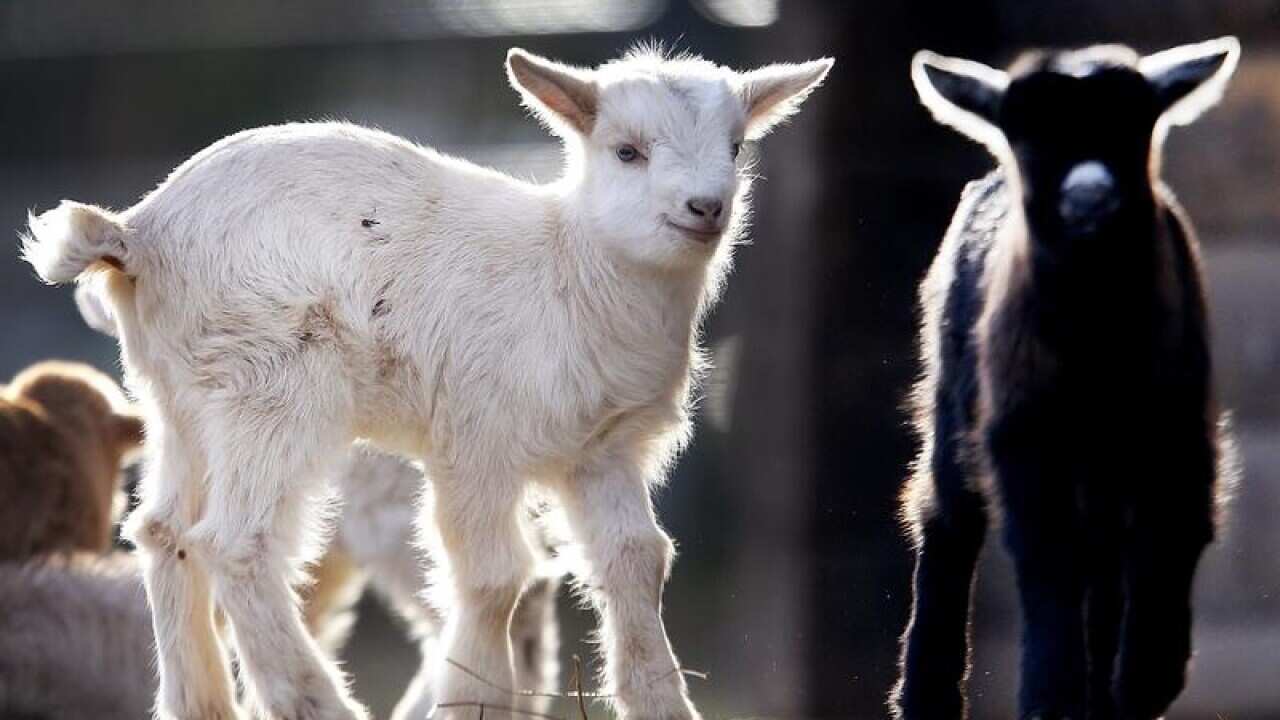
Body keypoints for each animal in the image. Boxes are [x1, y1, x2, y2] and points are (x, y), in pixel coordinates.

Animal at [22, 46, 832, 720]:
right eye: (627, 151)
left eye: (736, 147)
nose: (707, 208)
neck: (570, 270)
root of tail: (138, 234)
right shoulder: (476, 441)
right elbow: (497, 579)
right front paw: (470, 700)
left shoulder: (600, 452)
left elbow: (637, 559)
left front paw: (661, 704)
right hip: (276, 389)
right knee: (235, 543)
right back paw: (319, 703)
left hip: (180, 399)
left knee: (164, 535)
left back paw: (204, 705)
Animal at [893, 38, 1239, 720]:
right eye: (1029, 138)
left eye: (1137, 129)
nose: (1089, 198)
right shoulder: (1023, 437)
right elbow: (1045, 558)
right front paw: (1050, 696)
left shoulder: (1180, 435)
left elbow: (1168, 546)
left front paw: (1143, 683)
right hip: (954, 403)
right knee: (947, 519)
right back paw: (926, 696)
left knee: (1102, 564)